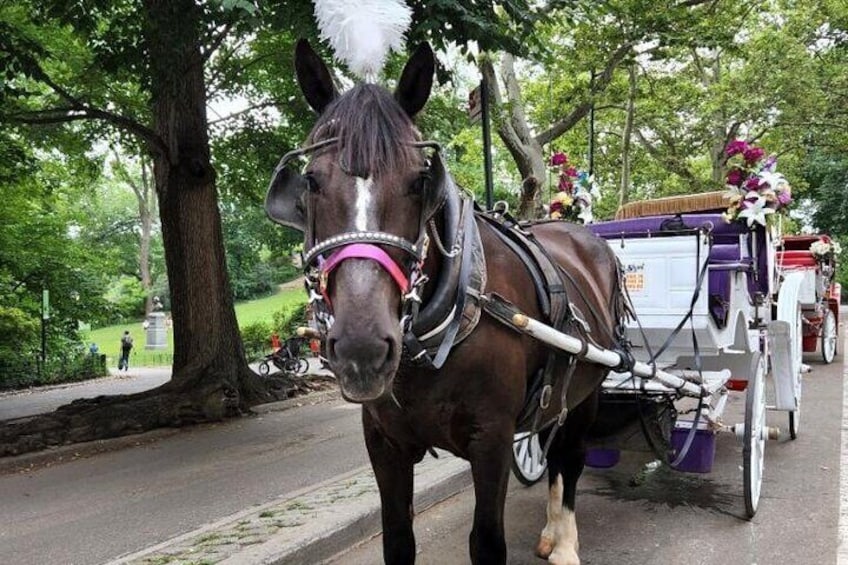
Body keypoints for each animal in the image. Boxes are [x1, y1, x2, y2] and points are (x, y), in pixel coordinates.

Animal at [266, 39, 628, 564]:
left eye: (420, 180)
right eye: (311, 181)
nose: (361, 350)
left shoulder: (492, 440)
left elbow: (487, 542)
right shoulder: (384, 443)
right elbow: (398, 540)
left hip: (587, 389)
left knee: (569, 458)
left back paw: (564, 541)